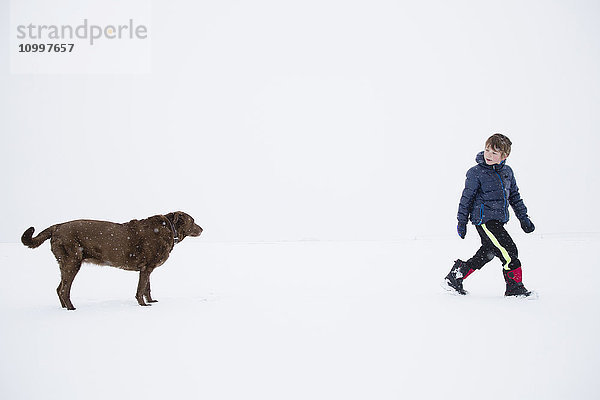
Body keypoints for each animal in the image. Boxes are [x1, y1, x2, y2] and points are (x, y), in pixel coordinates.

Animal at [22, 212, 203, 310]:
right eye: (193, 221)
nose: (202, 228)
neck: (168, 229)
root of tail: (57, 226)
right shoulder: (146, 268)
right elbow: (140, 289)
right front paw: (143, 306)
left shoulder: (147, 269)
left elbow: (147, 288)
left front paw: (151, 301)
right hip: (72, 263)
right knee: (63, 290)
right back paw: (71, 309)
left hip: (65, 264)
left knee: (59, 288)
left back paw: (64, 308)